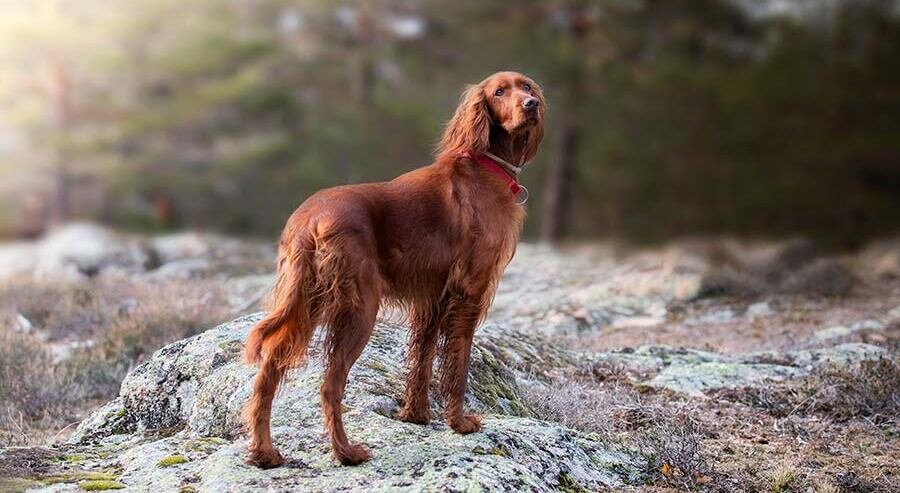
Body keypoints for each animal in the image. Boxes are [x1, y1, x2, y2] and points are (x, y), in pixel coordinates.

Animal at [243, 71, 544, 468]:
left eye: (527, 87)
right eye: (499, 92)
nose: (532, 105)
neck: (485, 166)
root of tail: (310, 218)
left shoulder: (433, 299)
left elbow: (423, 359)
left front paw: (416, 415)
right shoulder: (469, 291)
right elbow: (458, 362)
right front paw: (459, 423)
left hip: (307, 303)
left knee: (269, 370)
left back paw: (265, 452)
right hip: (360, 308)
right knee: (330, 384)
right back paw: (346, 452)